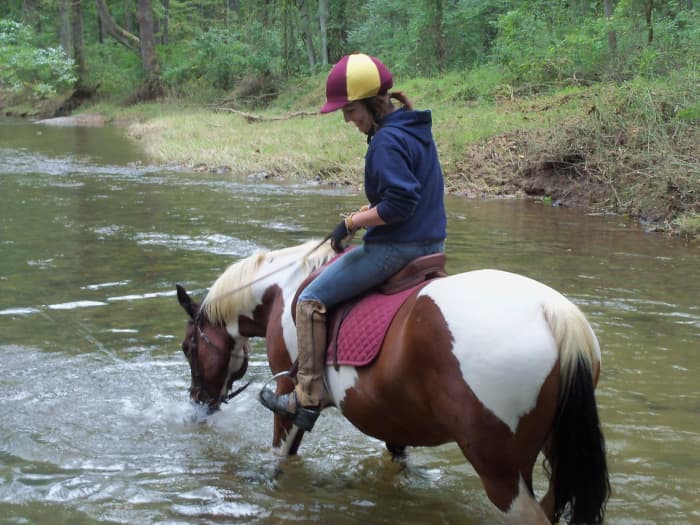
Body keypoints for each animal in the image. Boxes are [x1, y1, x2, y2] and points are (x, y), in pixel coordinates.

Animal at [176, 239, 609, 525]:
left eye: (187, 347)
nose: (197, 403)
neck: (281, 292)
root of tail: (552, 312)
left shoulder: (289, 397)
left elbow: (281, 456)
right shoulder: (391, 414)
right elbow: (398, 461)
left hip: (499, 470)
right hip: (555, 451)